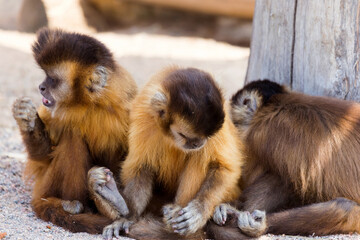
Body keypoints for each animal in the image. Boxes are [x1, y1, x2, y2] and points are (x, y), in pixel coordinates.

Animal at [11, 27, 136, 232]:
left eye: (52, 79)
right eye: (45, 76)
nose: (41, 87)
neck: (89, 106)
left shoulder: (128, 107)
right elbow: (43, 157)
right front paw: (26, 118)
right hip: (46, 185)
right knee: (73, 137)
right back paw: (66, 203)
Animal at [90, 66, 245, 239]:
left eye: (204, 137)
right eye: (183, 135)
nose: (198, 143)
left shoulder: (218, 128)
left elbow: (225, 167)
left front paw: (198, 210)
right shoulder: (145, 114)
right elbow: (141, 166)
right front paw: (128, 217)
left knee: (200, 156)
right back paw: (112, 196)